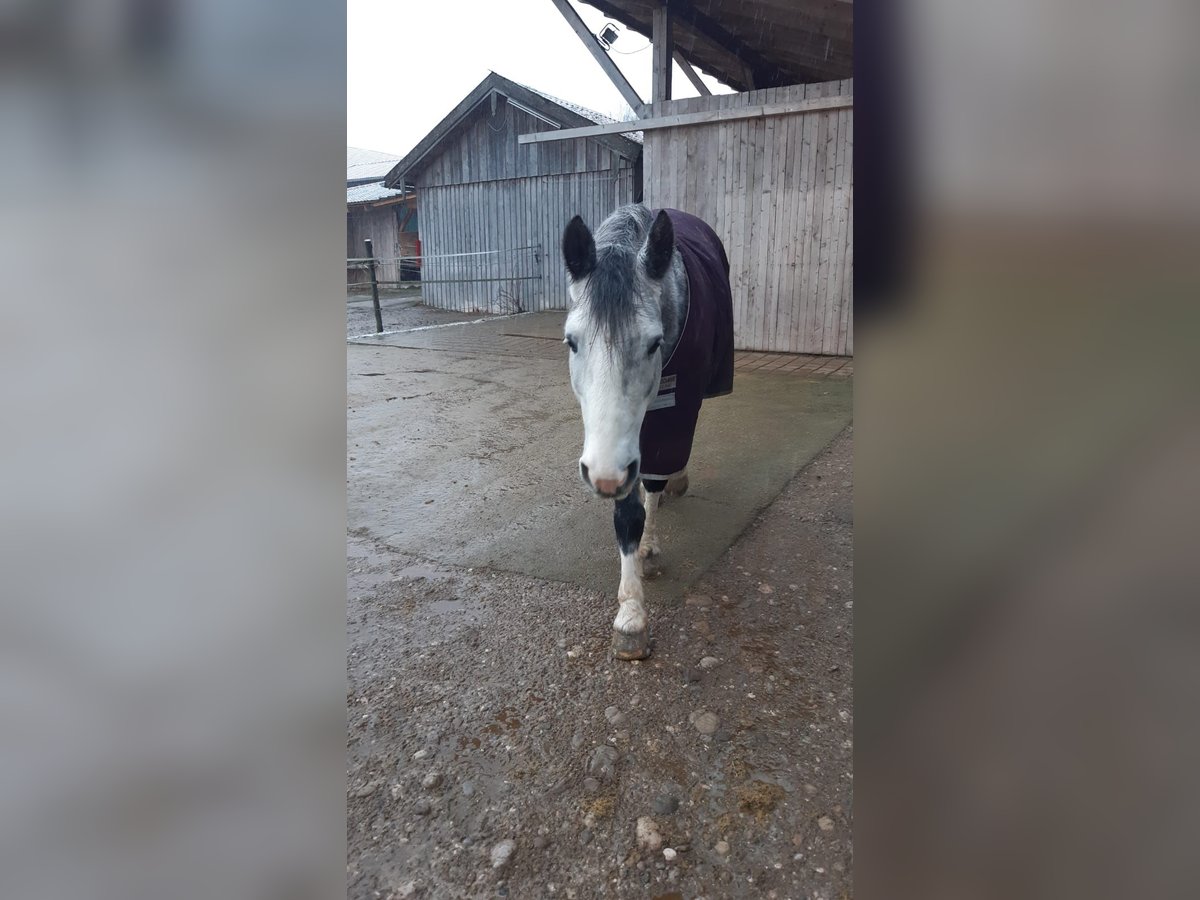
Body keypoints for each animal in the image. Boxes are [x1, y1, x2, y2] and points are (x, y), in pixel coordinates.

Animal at [559, 206, 729, 662]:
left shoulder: (672, 414)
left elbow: (651, 483)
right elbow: (627, 515)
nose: (603, 476)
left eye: (654, 343)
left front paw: (635, 606)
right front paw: (630, 613)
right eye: (571, 342)